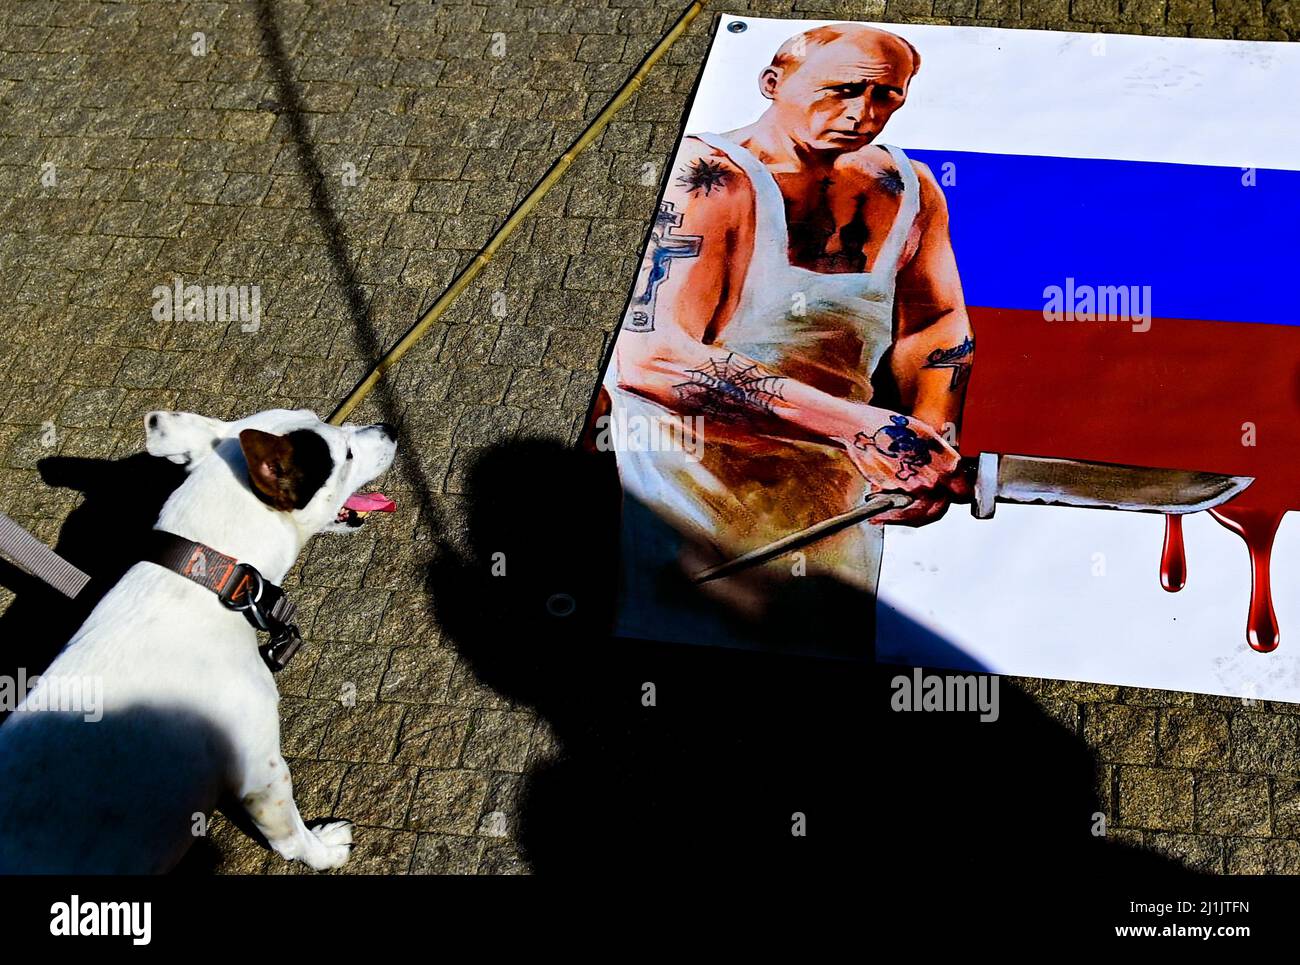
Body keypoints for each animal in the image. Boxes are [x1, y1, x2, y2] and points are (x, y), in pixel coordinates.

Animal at [0, 408, 397, 879]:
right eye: (347, 454)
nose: (390, 429)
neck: (210, 575)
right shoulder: (262, 776)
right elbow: (292, 839)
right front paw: (323, 852)